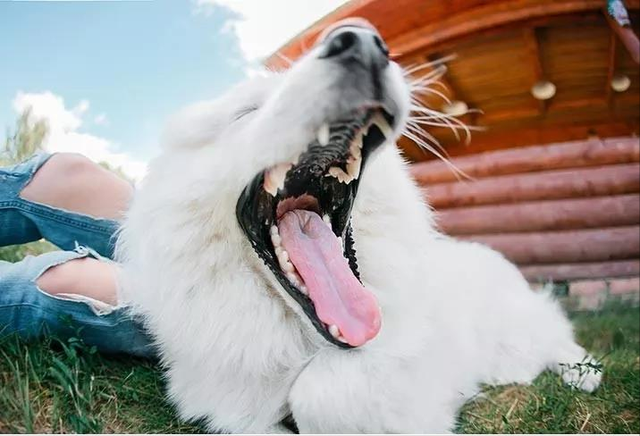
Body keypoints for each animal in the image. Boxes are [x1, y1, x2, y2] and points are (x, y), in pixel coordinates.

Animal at [117, 19, 604, 432]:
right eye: (245, 112)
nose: (364, 43)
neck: (303, 345)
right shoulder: (229, 405)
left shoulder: (401, 356)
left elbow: (322, 391)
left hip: (517, 321)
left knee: (556, 335)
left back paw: (582, 373)